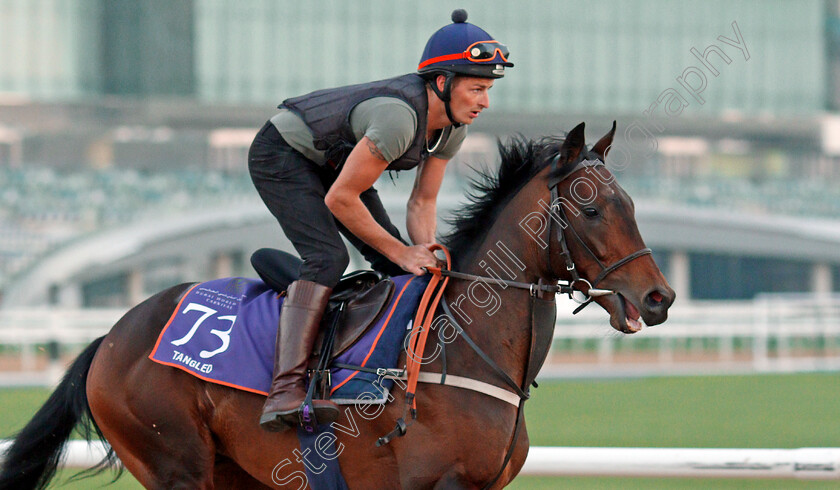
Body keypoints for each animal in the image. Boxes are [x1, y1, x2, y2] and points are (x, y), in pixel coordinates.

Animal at [0, 122, 668, 490]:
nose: (658, 297)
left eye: (632, 204)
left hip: (233, 472)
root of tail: (111, 337)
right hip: (175, 464)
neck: (460, 351)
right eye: (590, 208)